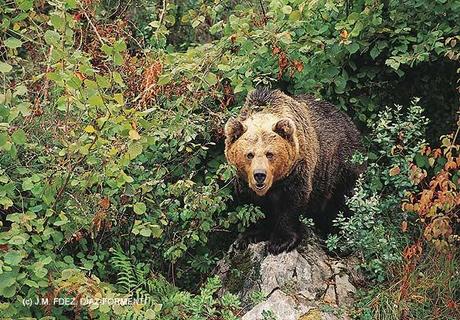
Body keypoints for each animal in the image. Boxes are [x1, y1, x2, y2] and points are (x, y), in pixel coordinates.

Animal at [225, 89, 364, 254]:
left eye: (270, 154)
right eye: (249, 154)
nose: (259, 175)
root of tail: (349, 121)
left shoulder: (297, 169)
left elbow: (293, 201)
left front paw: (280, 242)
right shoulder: (243, 179)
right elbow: (253, 205)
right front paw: (248, 237)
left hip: (341, 164)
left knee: (344, 200)